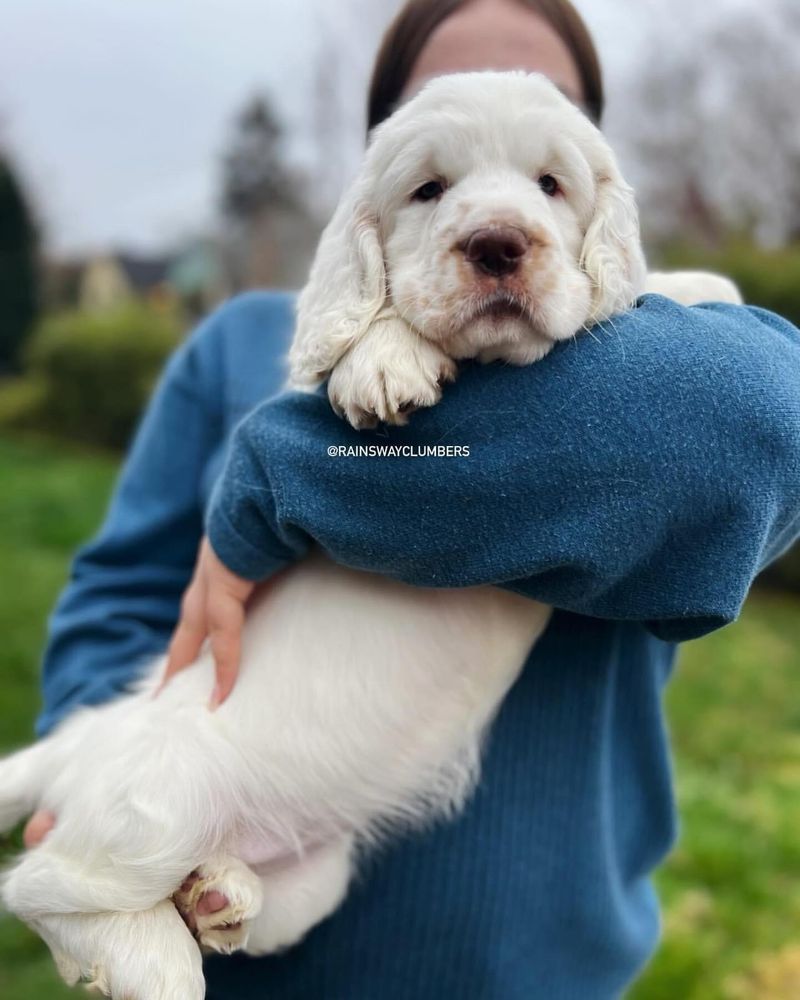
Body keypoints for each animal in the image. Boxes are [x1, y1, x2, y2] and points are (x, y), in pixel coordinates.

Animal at [0, 72, 736, 1000]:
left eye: (550, 185)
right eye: (428, 191)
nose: (498, 244)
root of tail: (87, 736)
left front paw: (697, 283)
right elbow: (340, 354)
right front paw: (385, 360)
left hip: (317, 871)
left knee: (243, 901)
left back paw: (218, 895)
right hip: (153, 806)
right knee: (40, 885)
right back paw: (155, 964)